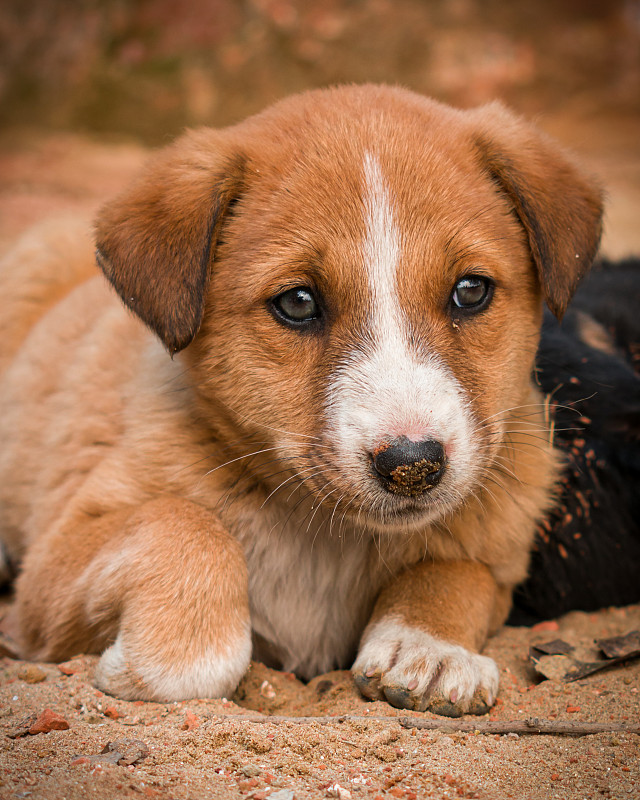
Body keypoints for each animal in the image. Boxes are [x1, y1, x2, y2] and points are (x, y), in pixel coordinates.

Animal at [0, 84, 604, 716]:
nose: (413, 467)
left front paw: (429, 647)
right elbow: (182, 524)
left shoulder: (500, 546)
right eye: (296, 302)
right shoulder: (54, 558)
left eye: (470, 290)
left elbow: (457, 569)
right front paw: (171, 661)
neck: (324, 535)